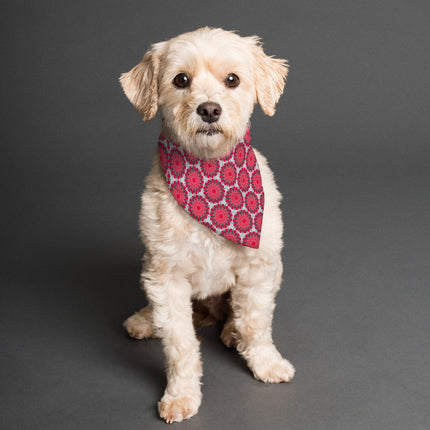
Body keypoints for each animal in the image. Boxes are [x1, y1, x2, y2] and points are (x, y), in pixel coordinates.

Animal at [121, 27, 296, 424]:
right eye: (180, 80)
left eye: (232, 80)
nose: (210, 109)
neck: (210, 169)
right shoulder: (166, 276)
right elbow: (180, 344)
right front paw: (181, 394)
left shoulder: (259, 267)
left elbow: (255, 322)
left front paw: (265, 362)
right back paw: (145, 320)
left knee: (235, 314)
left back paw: (231, 331)